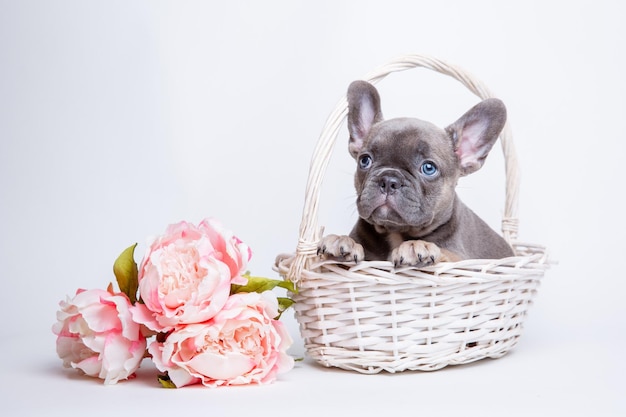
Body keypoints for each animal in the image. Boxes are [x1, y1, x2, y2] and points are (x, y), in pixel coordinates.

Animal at [316, 79, 512, 264]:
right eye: (365, 160)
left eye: (428, 168)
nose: (389, 180)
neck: (396, 231)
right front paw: (341, 240)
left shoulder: (461, 257)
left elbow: (446, 252)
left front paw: (417, 245)